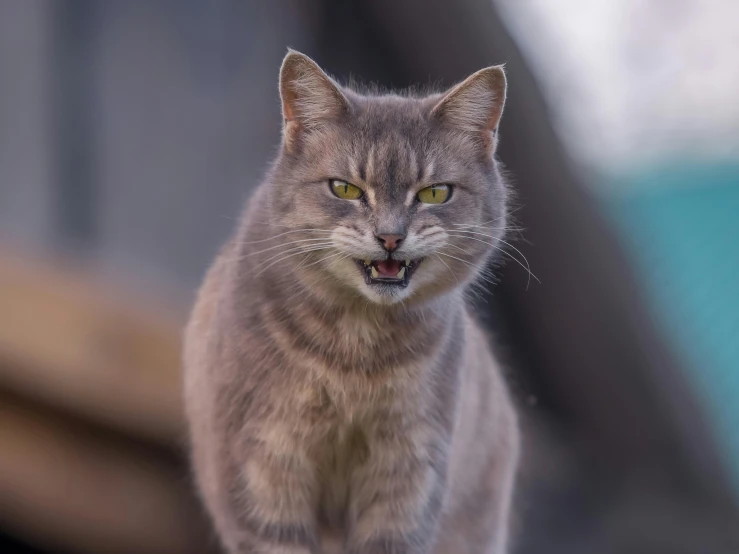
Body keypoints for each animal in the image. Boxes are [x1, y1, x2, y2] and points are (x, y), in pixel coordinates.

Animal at [184, 49, 520, 548]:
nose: (390, 236)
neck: (355, 357)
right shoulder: (261, 466)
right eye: (344, 188)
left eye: (435, 193)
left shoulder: (409, 474)